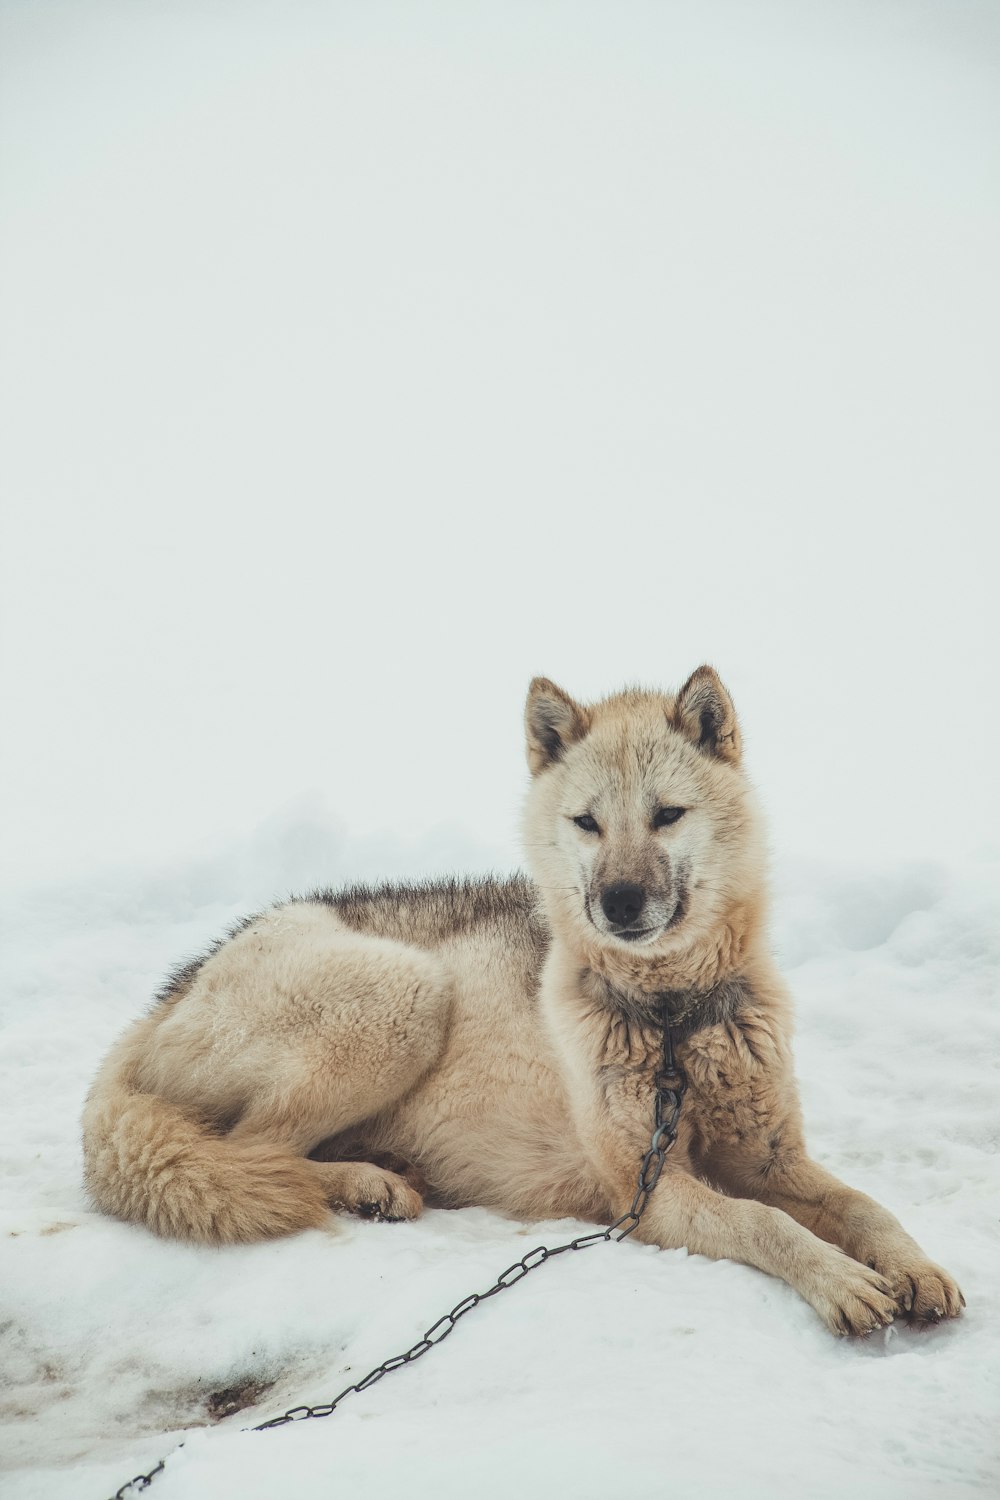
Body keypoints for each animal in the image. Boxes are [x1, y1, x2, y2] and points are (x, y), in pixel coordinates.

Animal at [83, 669, 959, 1338]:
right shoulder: (650, 1194)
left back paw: (382, 1173)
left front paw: (916, 1267)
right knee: (250, 1152)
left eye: (667, 815)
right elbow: (766, 1223)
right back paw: (365, 1186)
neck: (670, 1021)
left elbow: (866, 1207)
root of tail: (167, 997)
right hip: (407, 995)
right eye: (587, 823)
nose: (620, 901)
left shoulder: (772, 1159)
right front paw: (842, 1282)